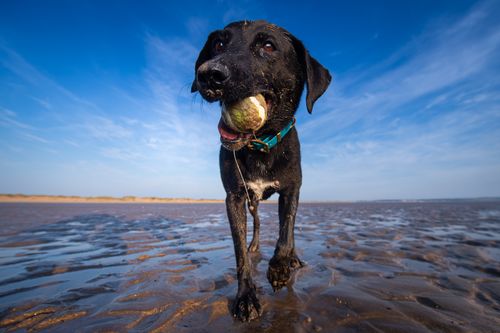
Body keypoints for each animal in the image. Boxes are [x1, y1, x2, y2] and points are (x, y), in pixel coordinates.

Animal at [191, 19, 332, 320]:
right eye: (219, 44)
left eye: (268, 46)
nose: (208, 74)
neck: (259, 146)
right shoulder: (234, 197)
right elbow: (240, 255)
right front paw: (246, 296)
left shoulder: (292, 190)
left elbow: (286, 230)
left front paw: (280, 266)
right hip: (252, 203)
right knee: (255, 225)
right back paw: (255, 246)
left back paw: (292, 259)